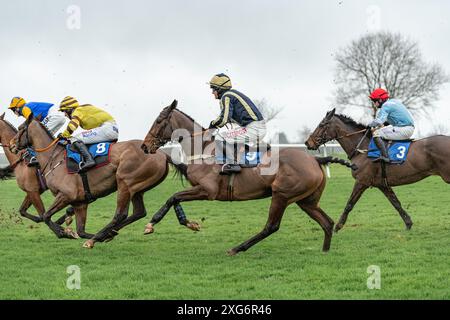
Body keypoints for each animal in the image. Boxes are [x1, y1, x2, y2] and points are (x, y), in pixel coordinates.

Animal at [13, 115, 171, 248]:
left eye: (20, 128)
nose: (12, 144)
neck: (54, 158)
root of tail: (162, 154)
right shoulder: (80, 202)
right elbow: (80, 231)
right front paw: (74, 232)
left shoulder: (66, 195)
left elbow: (46, 216)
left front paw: (64, 232)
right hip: (138, 189)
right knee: (139, 212)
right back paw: (106, 234)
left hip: (125, 183)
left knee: (121, 214)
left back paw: (98, 237)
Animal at [141, 100, 356, 255]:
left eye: (158, 121)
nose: (144, 146)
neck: (203, 149)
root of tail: (316, 159)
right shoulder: (197, 188)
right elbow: (175, 198)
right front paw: (191, 224)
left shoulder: (207, 191)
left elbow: (172, 197)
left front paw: (151, 224)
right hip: (306, 200)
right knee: (327, 223)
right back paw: (325, 251)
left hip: (282, 195)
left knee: (271, 226)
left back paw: (237, 248)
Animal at [306, 109, 450, 231]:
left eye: (321, 125)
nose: (308, 142)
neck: (363, 149)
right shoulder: (382, 184)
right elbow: (396, 203)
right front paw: (408, 223)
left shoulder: (361, 181)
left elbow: (349, 204)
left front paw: (338, 226)